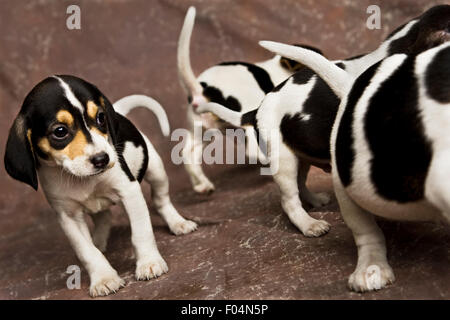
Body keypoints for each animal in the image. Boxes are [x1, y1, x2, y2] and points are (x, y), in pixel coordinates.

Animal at [3, 75, 197, 298]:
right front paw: (104, 277)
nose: (102, 159)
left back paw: (178, 222)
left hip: (156, 171)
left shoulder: (129, 192)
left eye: (100, 118)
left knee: (160, 200)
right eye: (60, 131)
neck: (82, 179)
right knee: (104, 217)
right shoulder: (68, 216)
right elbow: (87, 252)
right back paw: (99, 241)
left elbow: (141, 233)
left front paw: (149, 262)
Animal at [177, 6, 324, 194]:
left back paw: (203, 185)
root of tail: (201, 89)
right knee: (254, 150)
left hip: (202, 132)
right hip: (246, 119)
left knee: (189, 155)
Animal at [199, 3, 450, 236]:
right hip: (283, 160)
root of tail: (257, 110)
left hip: (300, 156)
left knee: (301, 183)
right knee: (290, 199)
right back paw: (309, 224)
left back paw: (315, 201)